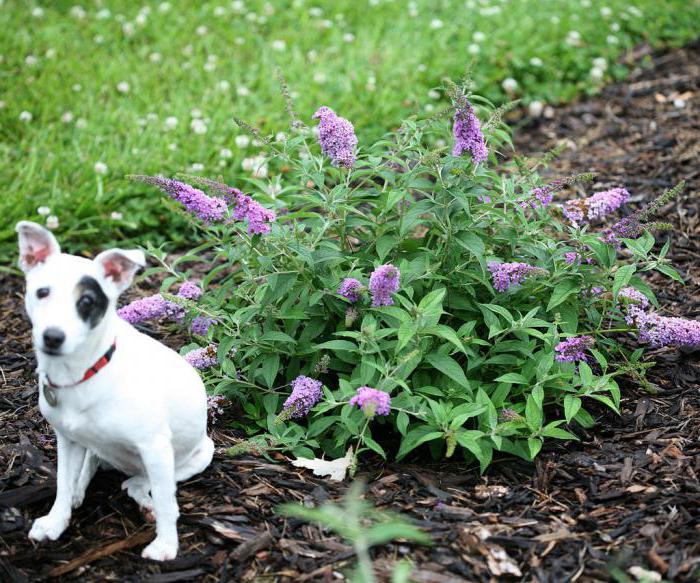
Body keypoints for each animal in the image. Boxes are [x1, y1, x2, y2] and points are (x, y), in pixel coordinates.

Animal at [16, 220, 213, 560]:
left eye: (87, 302)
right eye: (42, 292)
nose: (53, 336)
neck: (83, 375)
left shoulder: (155, 446)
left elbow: (167, 501)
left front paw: (166, 545)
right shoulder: (67, 439)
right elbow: (63, 483)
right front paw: (56, 521)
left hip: (197, 455)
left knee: (139, 484)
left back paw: (144, 500)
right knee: (96, 466)